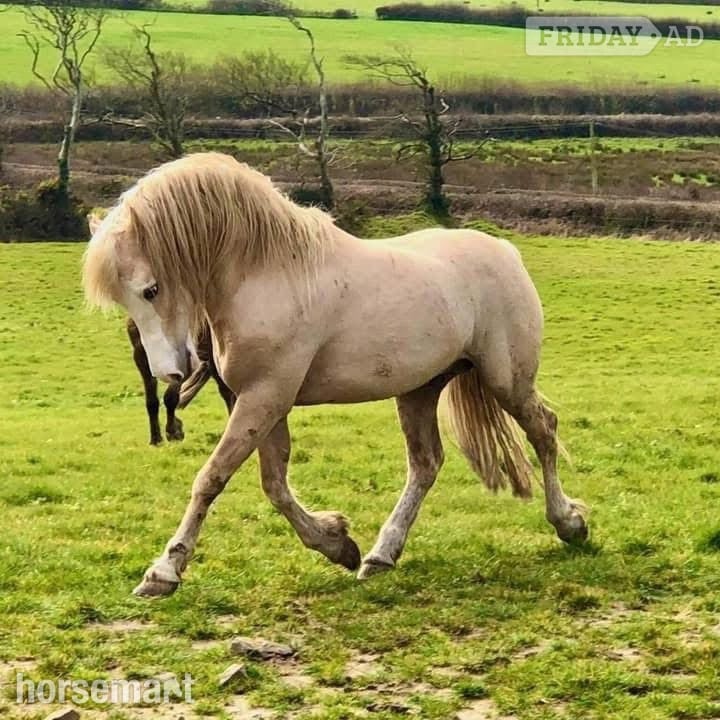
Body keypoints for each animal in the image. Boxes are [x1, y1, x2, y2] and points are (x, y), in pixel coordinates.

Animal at [82, 152, 588, 598]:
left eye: (151, 289)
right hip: (419, 390)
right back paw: (381, 555)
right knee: (425, 464)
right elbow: (274, 486)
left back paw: (569, 523)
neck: (271, 272)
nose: (169, 372)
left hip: (507, 380)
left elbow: (212, 478)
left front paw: (163, 572)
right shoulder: (264, 402)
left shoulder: (263, 398)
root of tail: (504, 250)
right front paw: (337, 543)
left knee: (543, 431)